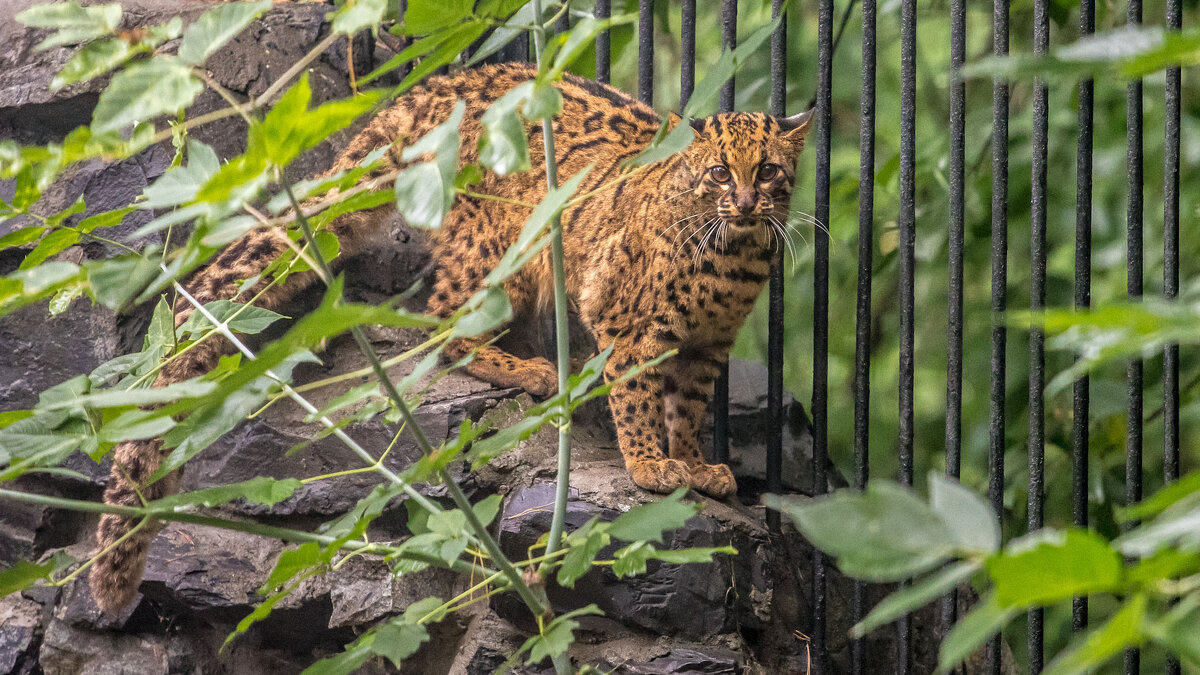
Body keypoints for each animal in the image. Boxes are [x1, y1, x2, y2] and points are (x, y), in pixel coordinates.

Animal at [88, 63, 811, 610]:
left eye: (769, 171)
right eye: (719, 172)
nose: (748, 202)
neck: (733, 256)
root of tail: (422, 95)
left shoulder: (707, 346)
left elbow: (687, 408)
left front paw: (693, 462)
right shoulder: (626, 319)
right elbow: (636, 398)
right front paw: (650, 464)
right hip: (500, 241)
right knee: (442, 320)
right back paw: (528, 370)